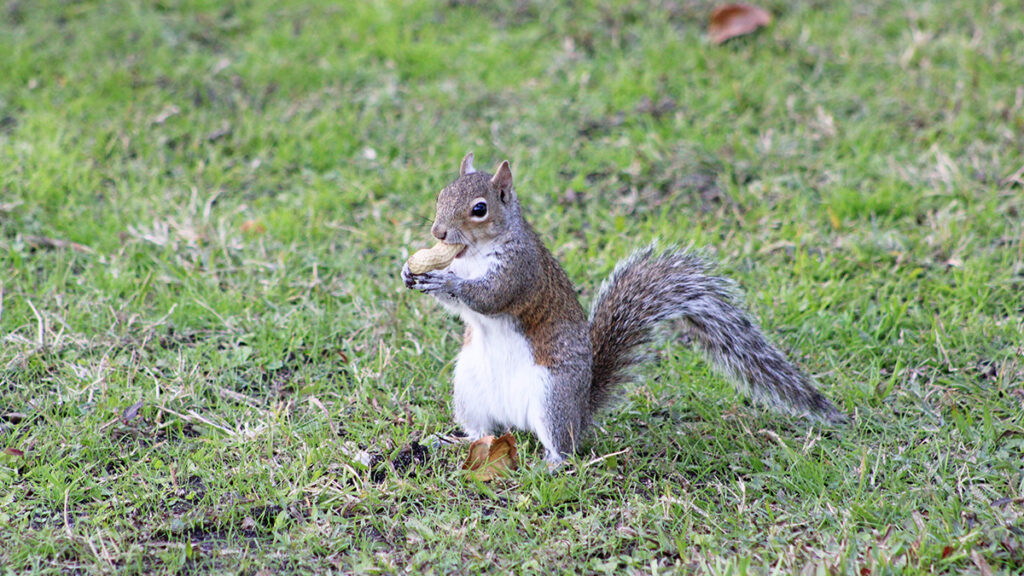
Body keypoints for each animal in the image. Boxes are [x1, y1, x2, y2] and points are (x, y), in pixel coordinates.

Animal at [403, 153, 843, 467]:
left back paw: (550, 463)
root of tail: (580, 413)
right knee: (483, 433)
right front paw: (410, 272)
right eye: (442, 194)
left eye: (479, 209)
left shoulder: (520, 271)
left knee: (564, 447)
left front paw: (446, 283)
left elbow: (490, 296)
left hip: (552, 395)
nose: (438, 232)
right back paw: (451, 440)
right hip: (470, 389)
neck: (472, 253)